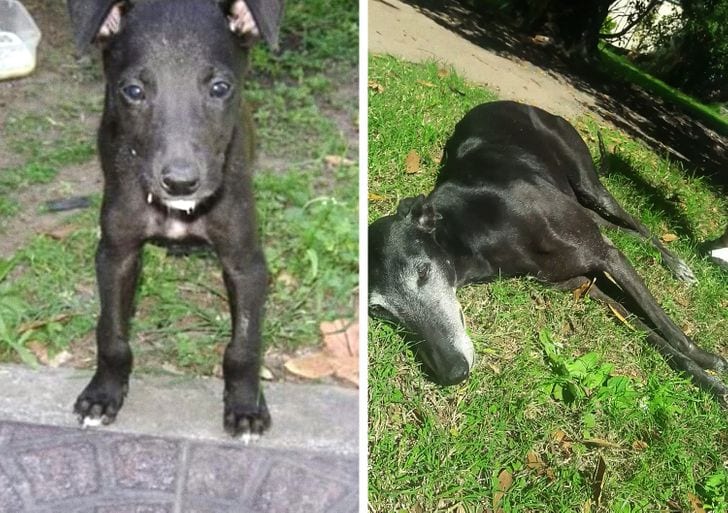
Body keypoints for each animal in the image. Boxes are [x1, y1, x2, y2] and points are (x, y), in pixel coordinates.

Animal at [66, 0, 282, 436]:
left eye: (220, 88)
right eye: (133, 91)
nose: (181, 183)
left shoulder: (246, 262)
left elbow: (245, 343)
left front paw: (245, 405)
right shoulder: (114, 255)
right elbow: (111, 333)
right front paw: (103, 393)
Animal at [370, 100, 728, 404]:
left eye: (423, 271)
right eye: (378, 310)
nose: (453, 372)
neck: (477, 232)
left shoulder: (606, 256)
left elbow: (669, 330)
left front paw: (710, 365)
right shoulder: (583, 283)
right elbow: (645, 329)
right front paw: (706, 379)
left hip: (588, 181)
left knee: (635, 222)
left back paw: (677, 264)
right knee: (612, 225)